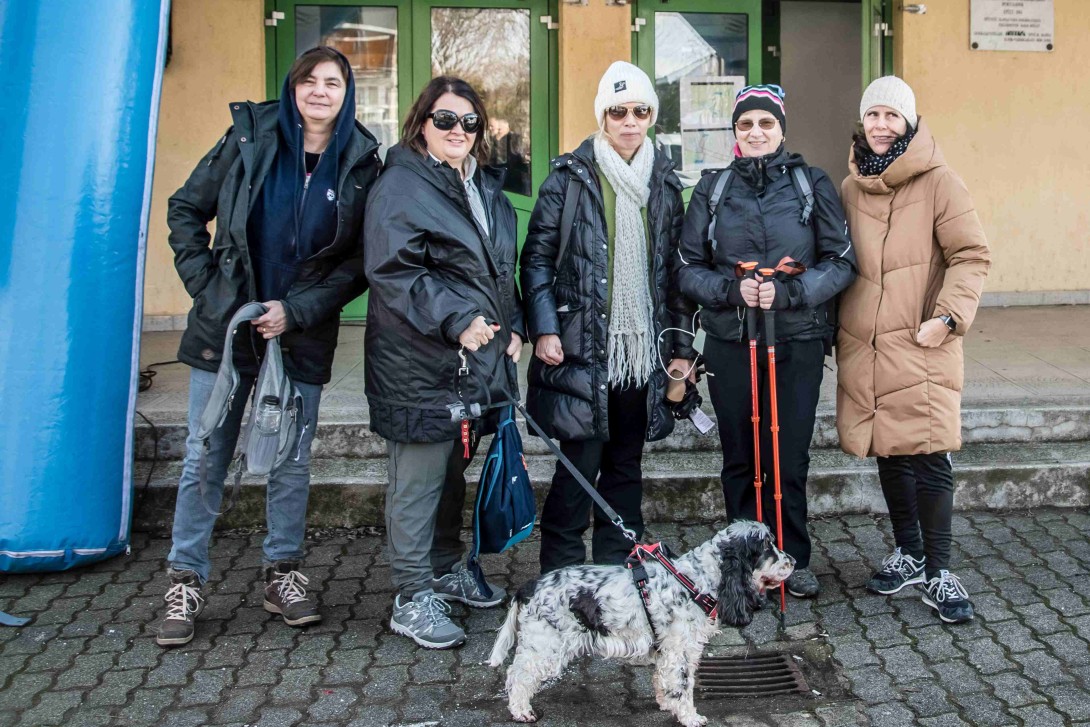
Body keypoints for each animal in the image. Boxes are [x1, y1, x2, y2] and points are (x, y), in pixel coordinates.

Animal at [488, 521, 795, 726]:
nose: (792, 560)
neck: (695, 580)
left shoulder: (669, 651)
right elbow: (683, 686)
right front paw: (690, 717)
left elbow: (663, 680)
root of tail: (530, 586)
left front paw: (666, 704)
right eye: (766, 546)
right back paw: (521, 711)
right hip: (545, 647)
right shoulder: (680, 652)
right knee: (517, 675)